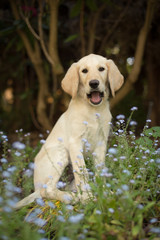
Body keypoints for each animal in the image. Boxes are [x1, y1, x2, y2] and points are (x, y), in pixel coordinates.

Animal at [14, 53, 124, 209]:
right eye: (84, 71)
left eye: (101, 69)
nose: (94, 83)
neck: (93, 110)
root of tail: (35, 187)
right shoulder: (75, 142)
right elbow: (82, 172)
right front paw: (88, 197)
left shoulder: (101, 143)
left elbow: (100, 170)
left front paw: (105, 192)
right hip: (60, 154)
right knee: (46, 191)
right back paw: (72, 197)